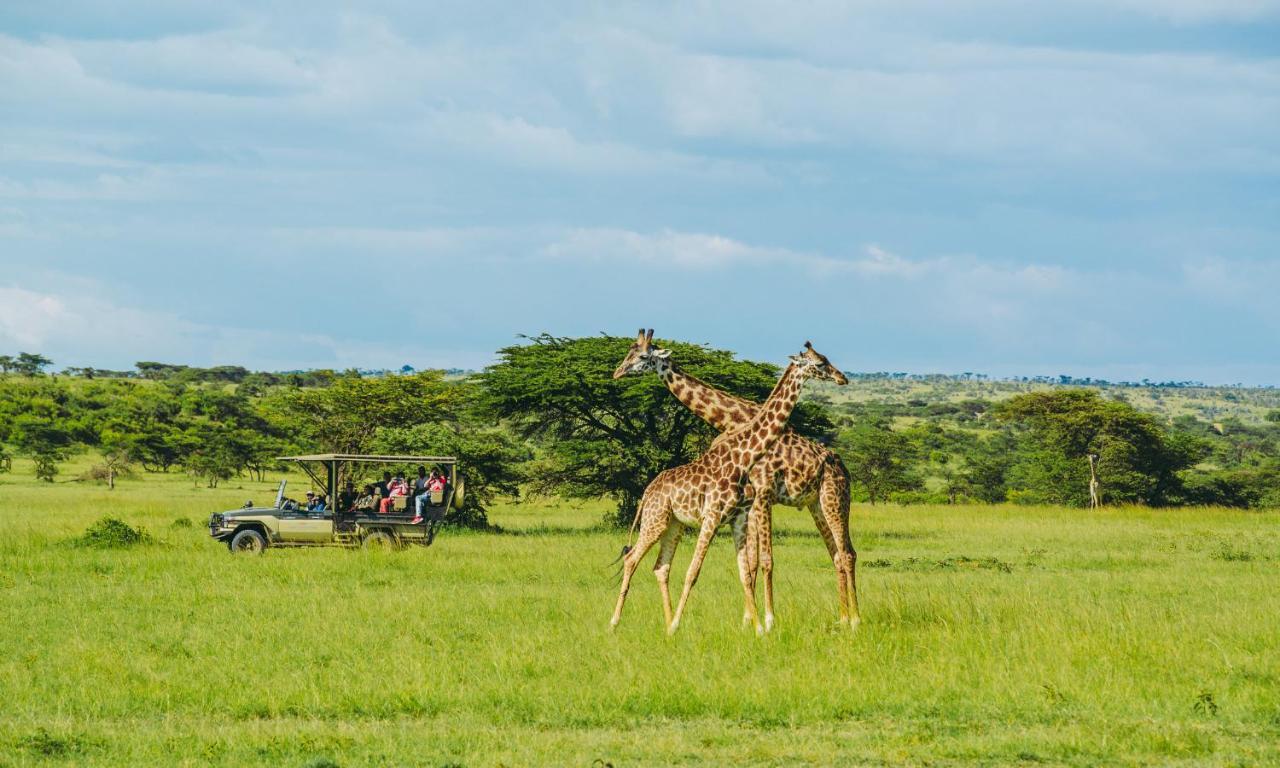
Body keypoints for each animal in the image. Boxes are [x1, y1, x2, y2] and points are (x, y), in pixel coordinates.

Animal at [609, 330, 860, 629]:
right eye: (629, 353)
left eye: (642, 356)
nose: (842, 377)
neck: (732, 421)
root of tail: (844, 468)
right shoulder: (752, 503)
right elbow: (751, 563)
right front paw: (752, 620)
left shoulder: (760, 495)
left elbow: (761, 561)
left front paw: (766, 620)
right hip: (816, 504)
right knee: (837, 555)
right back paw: (844, 618)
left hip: (834, 499)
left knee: (846, 553)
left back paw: (854, 620)